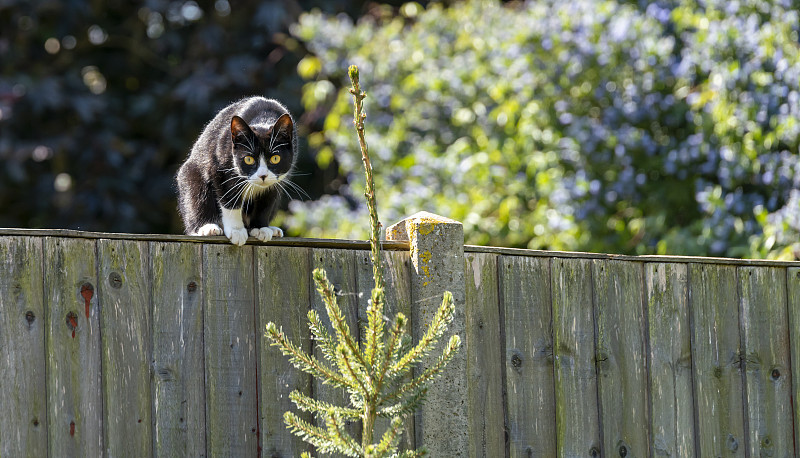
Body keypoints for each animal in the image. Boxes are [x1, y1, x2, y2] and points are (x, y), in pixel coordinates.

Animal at [177, 97, 298, 247]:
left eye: (275, 158)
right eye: (248, 159)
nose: (263, 175)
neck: (264, 119)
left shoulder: (277, 181)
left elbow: (266, 201)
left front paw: (260, 228)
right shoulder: (220, 166)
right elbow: (230, 198)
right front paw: (236, 231)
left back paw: (272, 229)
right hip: (191, 175)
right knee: (196, 194)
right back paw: (207, 227)